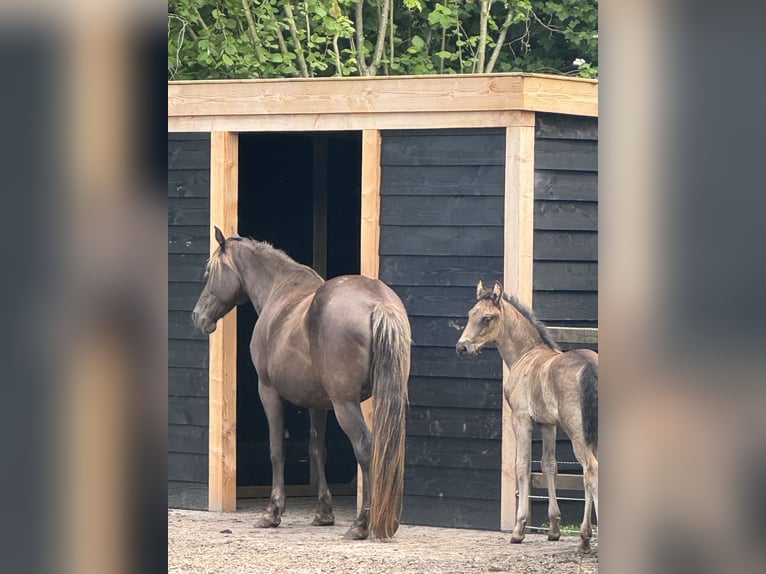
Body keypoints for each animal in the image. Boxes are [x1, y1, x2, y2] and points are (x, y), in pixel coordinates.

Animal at [192, 227, 411, 540]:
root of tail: (377, 302)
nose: (198, 316)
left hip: (345, 404)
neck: (280, 290)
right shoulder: (317, 402)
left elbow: (276, 449)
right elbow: (317, 448)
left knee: (366, 448)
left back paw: (361, 524)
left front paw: (272, 512)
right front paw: (324, 513)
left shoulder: (268, 391)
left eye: (209, 271)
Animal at [455, 280, 598, 553]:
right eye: (470, 314)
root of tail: (590, 366)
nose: (462, 347)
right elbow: (549, 465)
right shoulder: (548, 425)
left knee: (590, 470)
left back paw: (586, 537)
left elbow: (521, 466)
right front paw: (554, 529)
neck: (526, 354)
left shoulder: (521, 420)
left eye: (487, 317)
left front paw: (518, 529)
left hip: (577, 432)